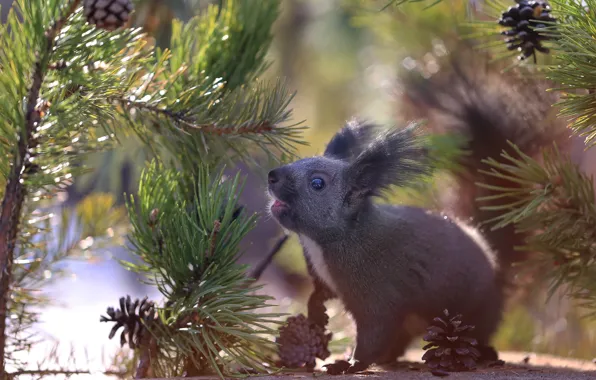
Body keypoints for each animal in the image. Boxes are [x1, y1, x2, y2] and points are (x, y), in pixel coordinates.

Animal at [266, 50, 568, 374]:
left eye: (317, 183)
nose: (272, 176)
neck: (339, 238)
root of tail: (496, 265)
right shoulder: (324, 276)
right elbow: (321, 293)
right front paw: (315, 310)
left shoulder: (378, 291)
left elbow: (373, 333)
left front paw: (349, 364)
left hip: (473, 309)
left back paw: (483, 352)